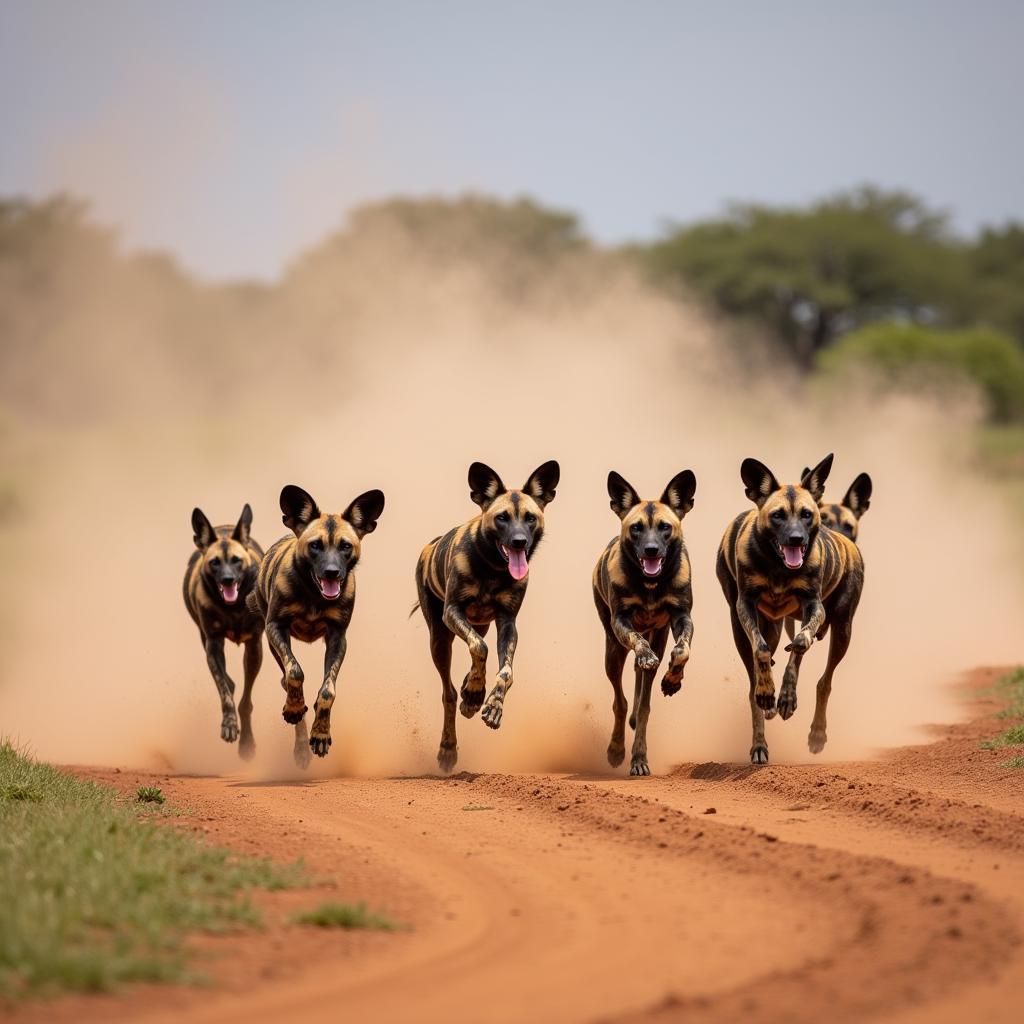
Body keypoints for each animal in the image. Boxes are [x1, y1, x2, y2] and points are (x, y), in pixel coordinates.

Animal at [183, 505, 266, 761]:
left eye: (236, 561)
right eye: (215, 562)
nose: (228, 579)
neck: (234, 607)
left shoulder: (254, 645)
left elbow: (245, 702)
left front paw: (247, 744)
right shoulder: (213, 645)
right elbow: (225, 693)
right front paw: (229, 724)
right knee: (228, 684)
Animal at [249, 487, 385, 770]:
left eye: (345, 546)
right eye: (315, 546)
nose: (332, 572)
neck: (314, 594)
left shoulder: (337, 638)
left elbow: (327, 691)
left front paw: (321, 734)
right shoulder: (276, 628)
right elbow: (295, 673)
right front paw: (293, 709)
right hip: (272, 641)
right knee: (286, 678)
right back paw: (299, 740)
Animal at [413, 460, 561, 770]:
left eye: (530, 518)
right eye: (502, 518)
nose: (519, 542)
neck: (493, 569)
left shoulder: (508, 623)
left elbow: (505, 671)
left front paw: (491, 704)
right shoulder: (452, 612)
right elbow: (479, 649)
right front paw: (474, 696)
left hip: (478, 623)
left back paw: (471, 689)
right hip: (439, 639)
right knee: (448, 692)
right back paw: (448, 746)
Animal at [593, 471, 696, 774]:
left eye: (665, 527)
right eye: (636, 528)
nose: (651, 550)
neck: (651, 584)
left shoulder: (682, 617)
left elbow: (682, 651)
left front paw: (673, 680)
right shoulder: (621, 623)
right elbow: (638, 645)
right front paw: (626, 754)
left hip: (658, 637)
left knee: (641, 701)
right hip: (612, 652)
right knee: (621, 702)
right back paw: (616, 750)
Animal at [716, 454, 868, 761]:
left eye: (807, 514)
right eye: (778, 515)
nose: (797, 538)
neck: (779, 568)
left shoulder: (814, 608)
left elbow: (800, 645)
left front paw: (786, 696)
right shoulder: (745, 608)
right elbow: (761, 653)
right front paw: (768, 693)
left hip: (842, 631)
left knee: (824, 681)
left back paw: (815, 732)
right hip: (750, 626)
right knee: (754, 681)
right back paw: (760, 742)